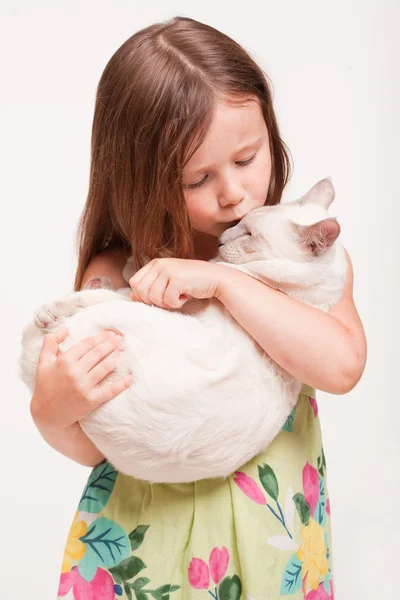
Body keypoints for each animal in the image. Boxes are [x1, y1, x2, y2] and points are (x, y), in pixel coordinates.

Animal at [18, 177, 346, 482]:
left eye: (249, 235)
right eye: (238, 224)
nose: (221, 240)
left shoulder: (177, 297)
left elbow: (135, 279)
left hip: (131, 313)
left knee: (93, 300)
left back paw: (59, 307)